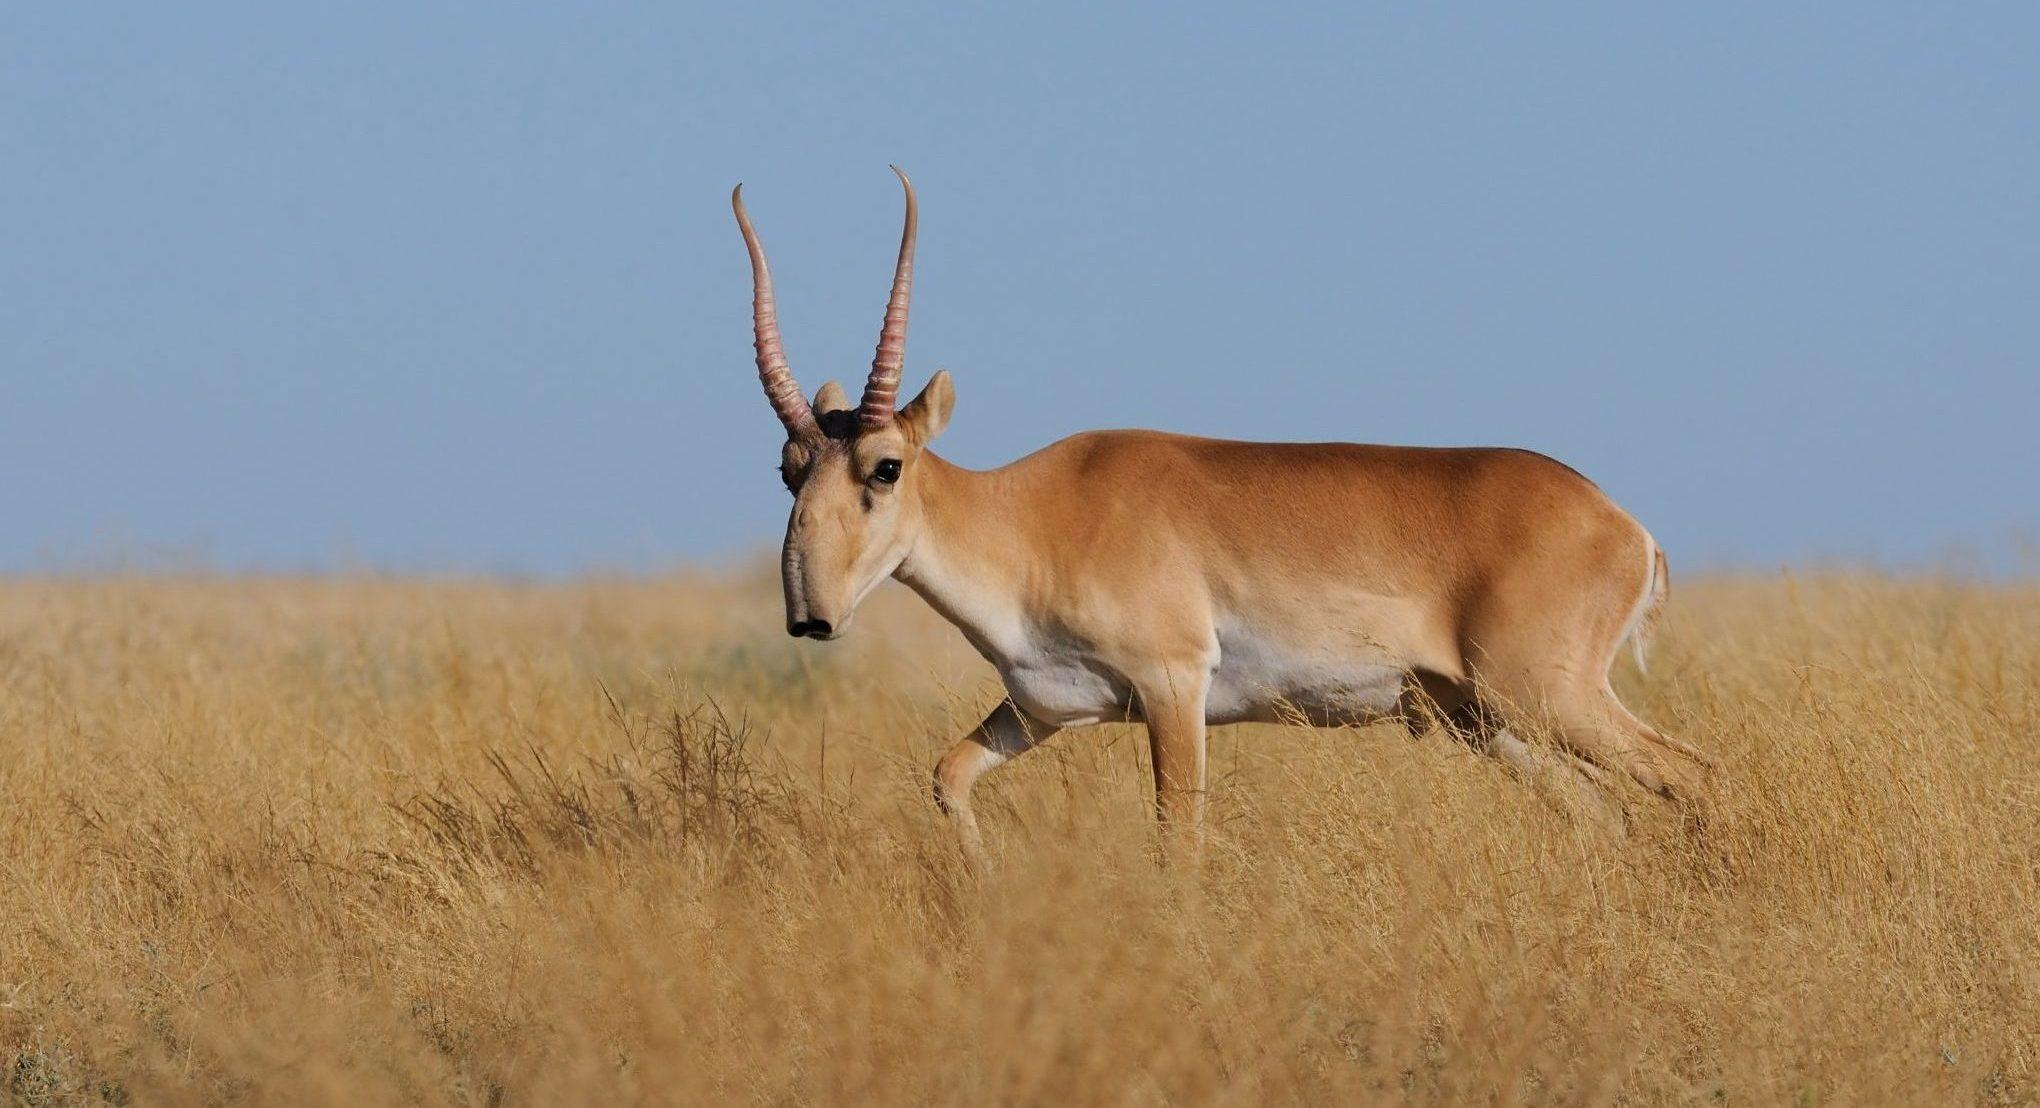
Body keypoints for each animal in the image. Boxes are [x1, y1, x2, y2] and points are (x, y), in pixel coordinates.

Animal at [726, 169, 1713, 873]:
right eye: (788, 469)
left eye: (884, 467)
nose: (810, 616)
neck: (1033, 517)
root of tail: (1624, 525)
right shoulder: (1044, 708)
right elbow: (947, 777)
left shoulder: (1173, 691)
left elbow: (1180, 846)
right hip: (1490, 721)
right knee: (1606, 817)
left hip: (1546, 698)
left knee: (1691, 776)